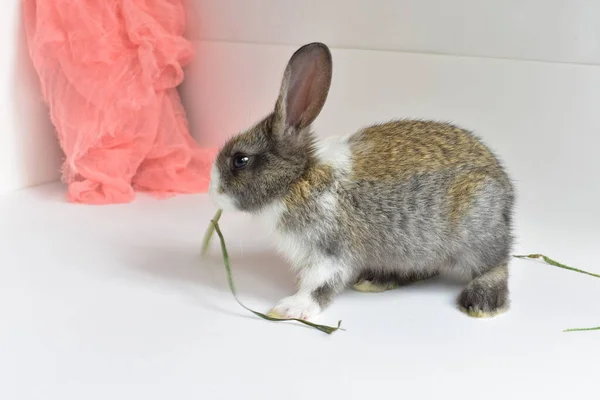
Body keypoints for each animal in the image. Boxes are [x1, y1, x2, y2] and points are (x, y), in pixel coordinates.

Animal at [209, 42, 512, 320]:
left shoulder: (330, 250)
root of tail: (506, 191)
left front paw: (290, 308)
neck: (298, 179)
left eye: (240, 160)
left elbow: (319, 284)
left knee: (496, 264)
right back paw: (375, 280)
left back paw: (481, 303)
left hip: (474, 232)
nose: (212, 192)